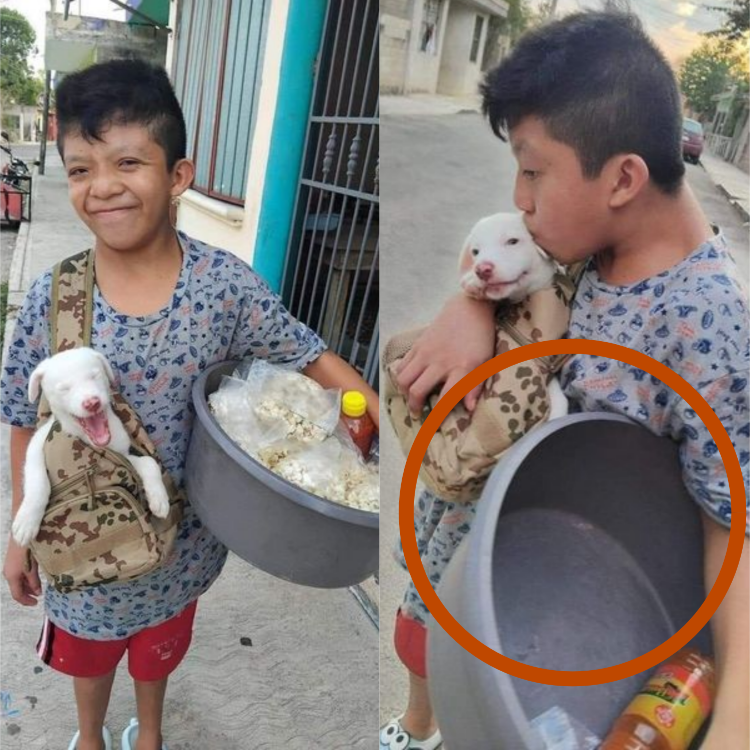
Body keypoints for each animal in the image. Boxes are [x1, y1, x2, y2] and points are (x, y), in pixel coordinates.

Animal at [12, 346, 170, 548]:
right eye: (64, 389)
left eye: (95, 375)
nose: (92, 403)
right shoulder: (36, 444)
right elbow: (37, 481)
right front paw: (27, 521)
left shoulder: (123, 455)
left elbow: (150, 462)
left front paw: (159, 498)